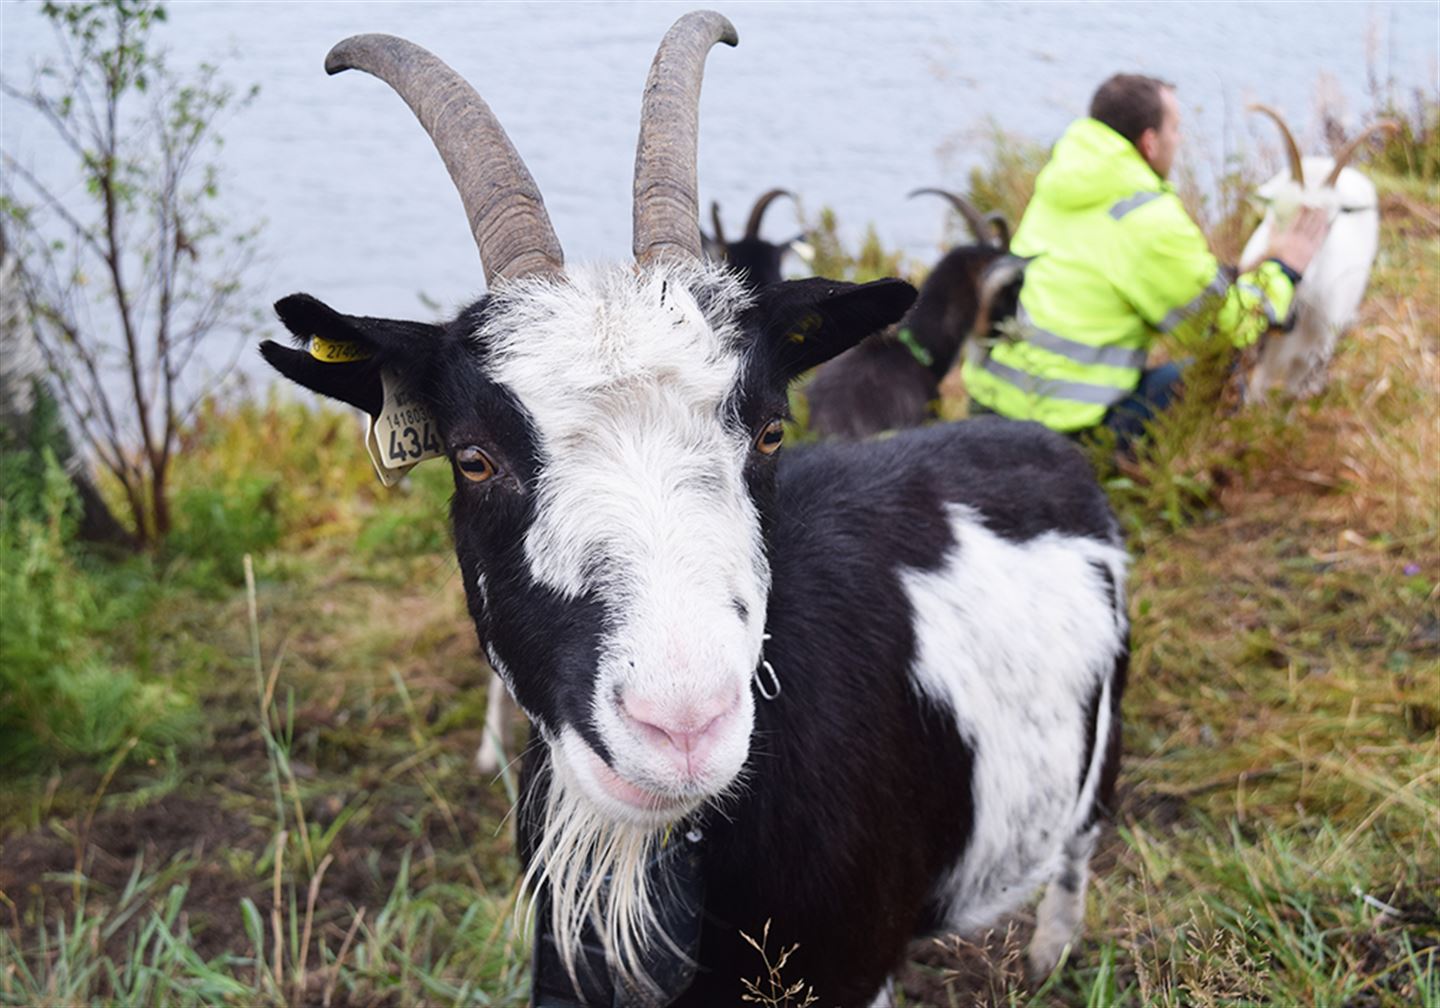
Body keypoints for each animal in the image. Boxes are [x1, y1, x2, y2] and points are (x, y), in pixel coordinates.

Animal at [1238, 104, 1393, 400]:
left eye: (1329, 225)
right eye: (1275, 216)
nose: (1300, 276)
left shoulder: (1311, 353)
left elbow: (1289, 397)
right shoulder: (1266, 355)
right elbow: (1255, 394)